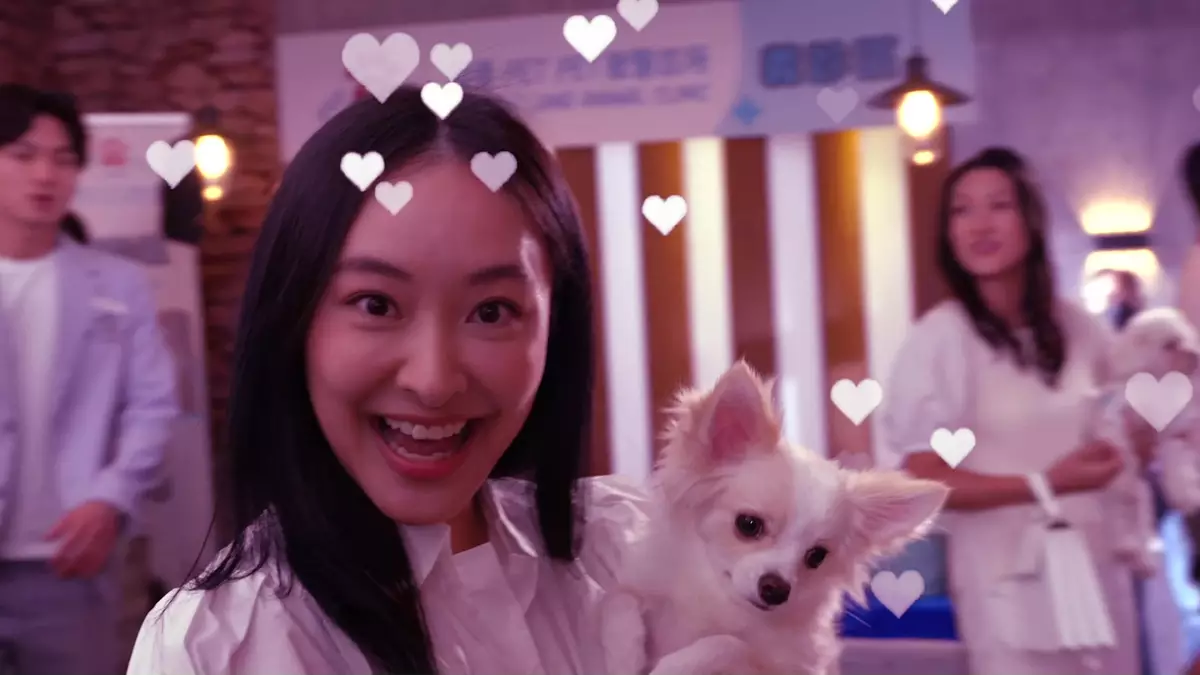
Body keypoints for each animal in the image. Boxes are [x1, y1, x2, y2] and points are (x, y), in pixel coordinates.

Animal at [601, 361, 949, 675]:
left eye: (817, 556)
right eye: (748, 525)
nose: (776, 589)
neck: (717, 604)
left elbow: (727, 644)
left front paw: (672, 665)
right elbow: (620, 603)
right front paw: (623, 652)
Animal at [1092, 308, 1200, 575]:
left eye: (1189, 339)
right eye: (1170, 345)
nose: (1196, 355)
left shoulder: (1174, 433)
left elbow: (1177, 460)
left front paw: (1187, 494)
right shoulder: (1115, 421)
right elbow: (1121, 449)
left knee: (1137, 518)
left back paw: (1139, 556)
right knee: (1122, 513)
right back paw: (1127, 547)